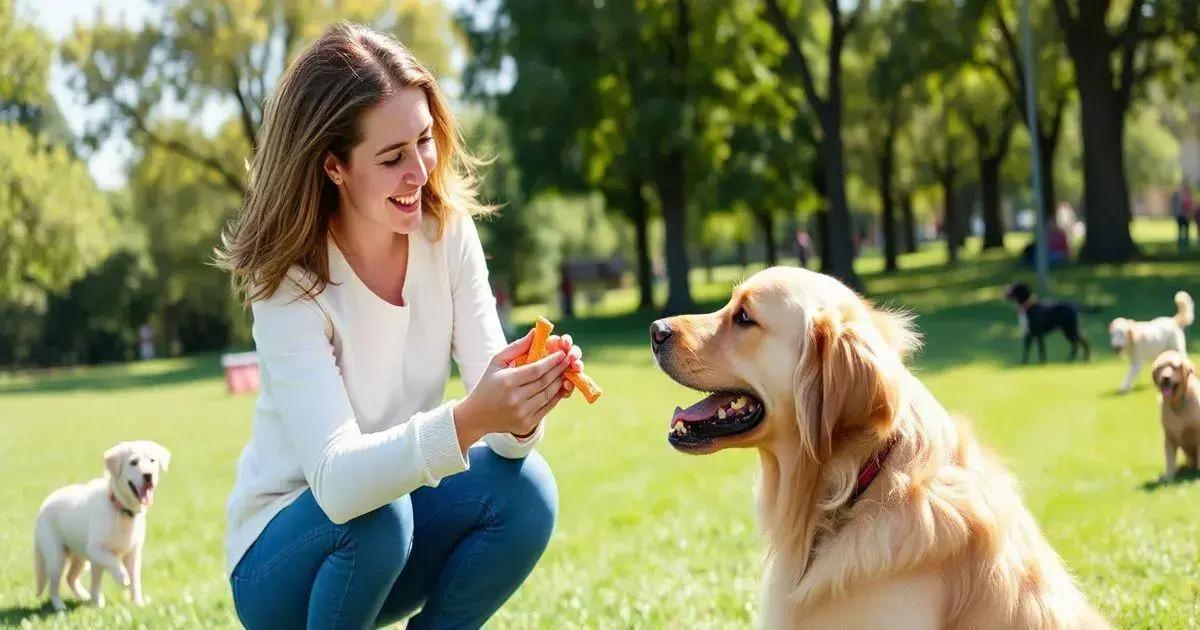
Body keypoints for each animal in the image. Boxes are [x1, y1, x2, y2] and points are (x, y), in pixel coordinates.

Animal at [34, 436, 170, 609]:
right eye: (133, 462)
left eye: (152, 460)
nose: (148, 475)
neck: (121, 510)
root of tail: (45, 503)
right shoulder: (96, 550)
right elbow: (112, 563)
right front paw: (120, 579)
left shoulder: (132, 553)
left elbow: (135, 581)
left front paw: (137, 603)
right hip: (56, 555)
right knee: (54, 584)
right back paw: (59, 606)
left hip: (80, 558)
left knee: (71, 577)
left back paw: (84, 596)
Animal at [1147, 348, 1195, 482]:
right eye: (1160, 368)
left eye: (1174, 367)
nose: (1165, 378)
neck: (1177, 403)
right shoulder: (1170, 436)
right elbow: (1169, 460)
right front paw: (1168, 478)